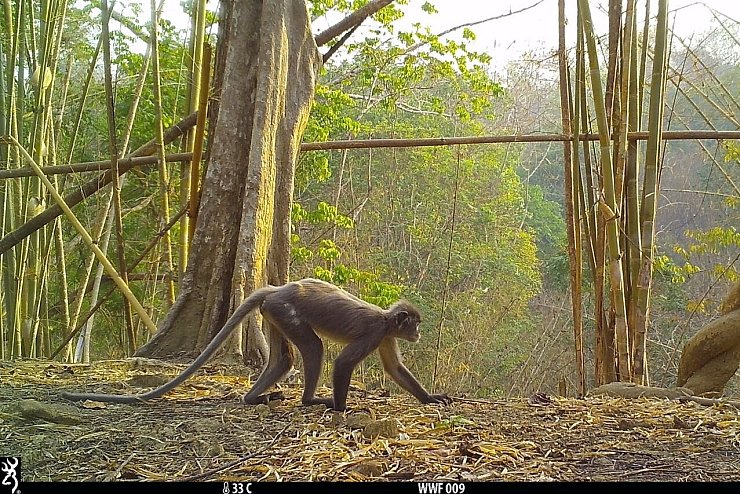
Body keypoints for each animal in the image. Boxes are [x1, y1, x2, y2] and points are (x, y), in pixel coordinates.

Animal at [61, 278, 452, 411]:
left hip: (275, 313)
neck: (386, 320)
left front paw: (431, 398)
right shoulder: (375, 331)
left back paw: (256, 398)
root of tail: (279, 288)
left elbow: (395, 369)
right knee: (313, 350)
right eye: (416, 323)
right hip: (286, 310)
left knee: (283, 360)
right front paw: (342, 409)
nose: (419, 333)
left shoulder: (385, 336)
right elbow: (342, 364)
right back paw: (309, 401)